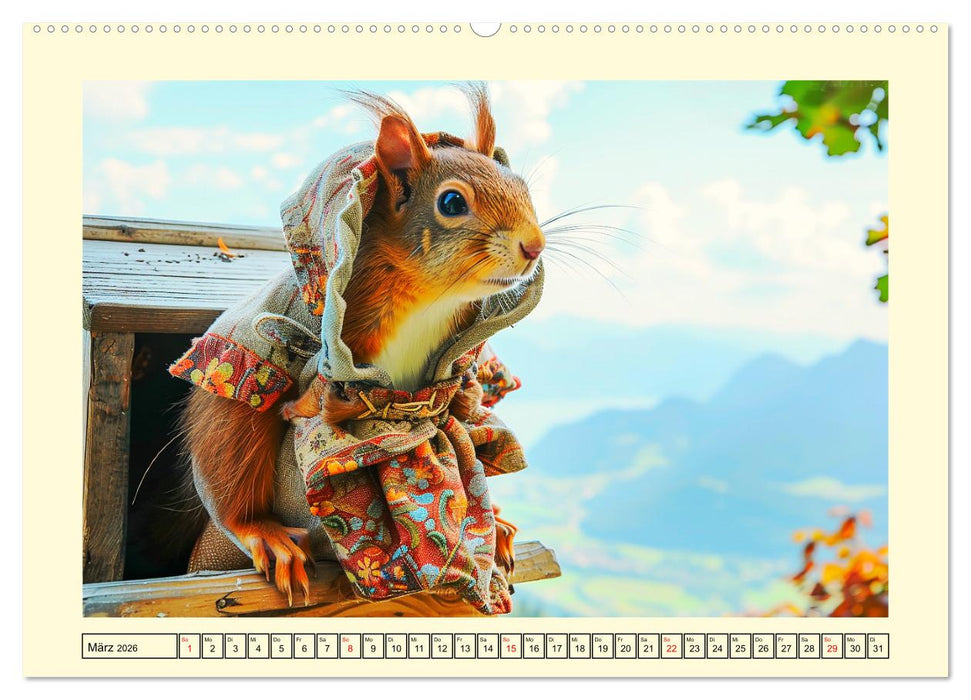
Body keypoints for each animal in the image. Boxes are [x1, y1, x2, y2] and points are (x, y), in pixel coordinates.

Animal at [180, 84, 544, 606]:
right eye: (452, 203)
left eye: (523, 188)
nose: (535, 247)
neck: (429, 301)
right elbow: (238, 404)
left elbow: (469, 413)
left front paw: (494, 520)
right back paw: (263, 532)